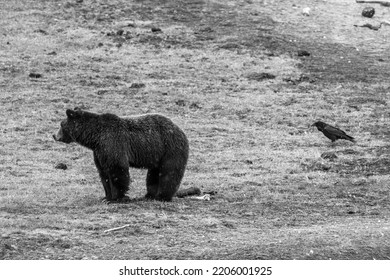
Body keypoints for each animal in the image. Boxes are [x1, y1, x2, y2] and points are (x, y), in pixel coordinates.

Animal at [53, 108, 189, 202]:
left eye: (61, 124)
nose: (54, 135)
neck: (95, 137)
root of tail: (180, 130)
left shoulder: (113, 143)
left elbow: (117, 169)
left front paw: (117, 198)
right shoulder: (99, 152)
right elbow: (103, 173)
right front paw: (106, 197)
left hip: (170, 149)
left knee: (169, 172)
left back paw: (162, 196)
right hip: (156, 154)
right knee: (153, 175)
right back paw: (149, 195)